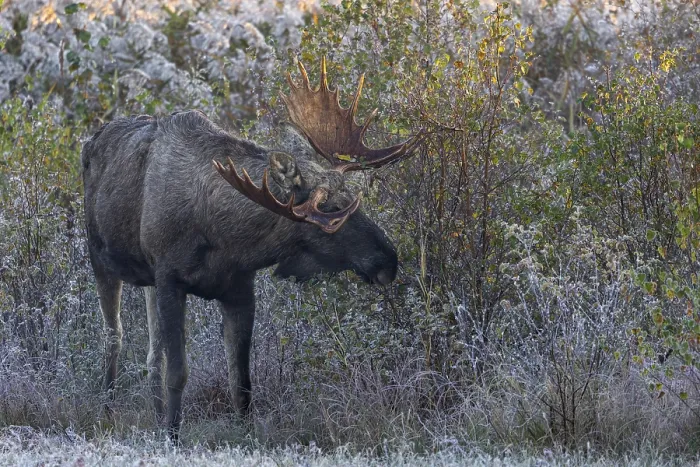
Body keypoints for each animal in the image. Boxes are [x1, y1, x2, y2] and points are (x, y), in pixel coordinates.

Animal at [81, 56, 422, 441]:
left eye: (353, 198)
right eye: (333, 210)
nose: (389, 260)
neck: (222, 235)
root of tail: (90, 140)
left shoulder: (240, 288)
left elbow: (242, 381)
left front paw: (243, 435)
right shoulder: (171, 279)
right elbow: (178, 372)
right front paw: (173, 436)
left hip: (148, 280)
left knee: (152, 355)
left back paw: (153, 415)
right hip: (101, 259)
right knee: (115, 338)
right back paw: (108, 412)